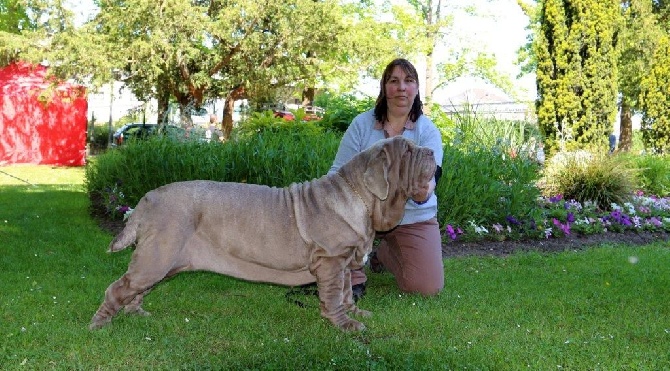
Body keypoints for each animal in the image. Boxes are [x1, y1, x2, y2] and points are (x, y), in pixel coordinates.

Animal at [89, 137, 438, 332]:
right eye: (408, 151)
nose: (434, 152)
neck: (362, 198)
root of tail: (147, 199)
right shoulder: (331, 261)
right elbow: (333, 295)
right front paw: (345, 325)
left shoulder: (345, 262)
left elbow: (346, 292)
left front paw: (354, 312)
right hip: (158, 254)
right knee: (117, 288)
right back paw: (100, 324)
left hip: (163, 259)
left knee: (135, 289)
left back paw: (137, 313)